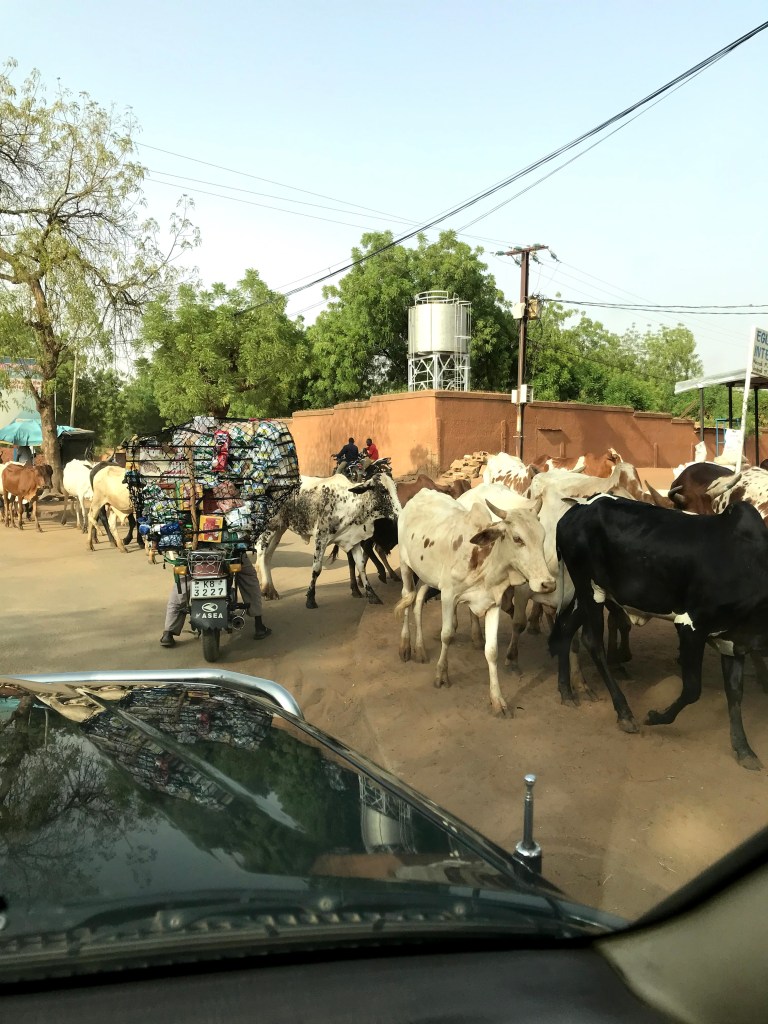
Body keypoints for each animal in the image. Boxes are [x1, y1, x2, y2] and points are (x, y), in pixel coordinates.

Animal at [255, 473, 402, 608]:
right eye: (383, 490)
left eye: (395, 488)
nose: (399, 513)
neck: (349, 503)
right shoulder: (321, 538)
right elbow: (316, 569)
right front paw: (310, 599)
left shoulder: (352, 540)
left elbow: (360, 566)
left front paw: (372, 595)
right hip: (269, 526)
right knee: (261, 551)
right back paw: (265, 589)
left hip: (280, 528)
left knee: (268, 555)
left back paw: (271, 590)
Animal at [395, 489, 555, 716]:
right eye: (517, 538)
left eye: (542, 537)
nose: (548, 583)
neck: (484, 562)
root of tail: (421, 493)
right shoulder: (448, 595)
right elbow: (447, 635)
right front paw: (441, 675)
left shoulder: (493, 603)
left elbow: (492, 651)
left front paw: (497, 700)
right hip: (405, 566)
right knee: (407, 598)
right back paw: (406, 646)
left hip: (427, 576)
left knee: (416, 601)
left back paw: (420, 649)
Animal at [549, 495, 768, 768]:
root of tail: (577, 508)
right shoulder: (691, 626)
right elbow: (692, 690)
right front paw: (654, 717)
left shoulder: (733, 641)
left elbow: (735, 694)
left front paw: (743, 749)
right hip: (590, 590)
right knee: (592, 642)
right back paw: (624, 713)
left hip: (594, 594)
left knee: (566, 629)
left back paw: (566, 692)